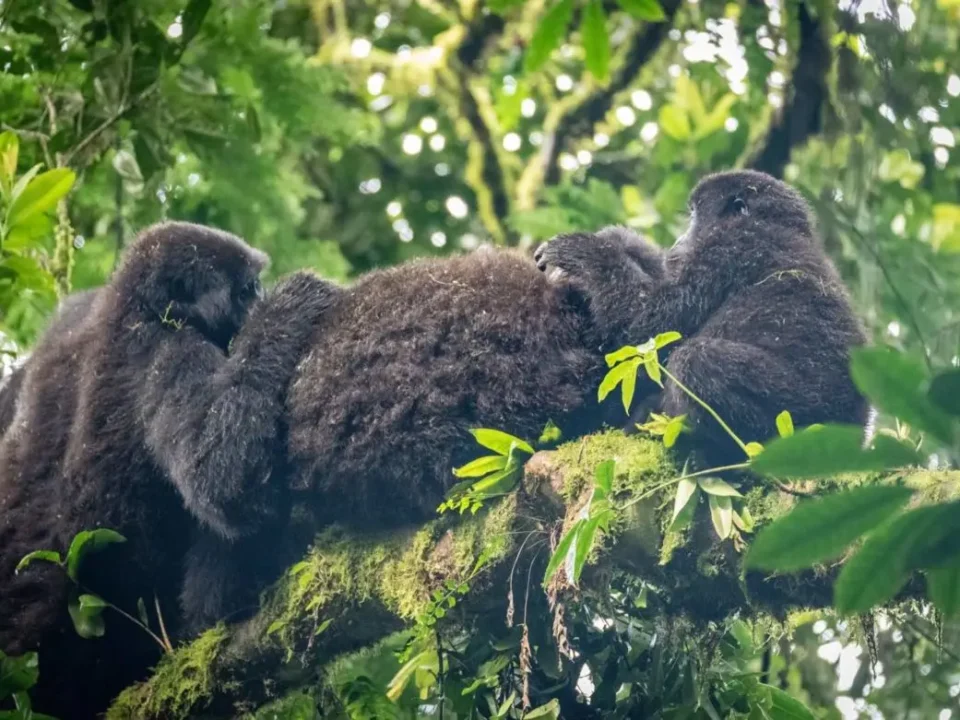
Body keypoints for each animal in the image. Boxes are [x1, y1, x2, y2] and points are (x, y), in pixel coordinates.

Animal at [0, 222, 337, 719]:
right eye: (246, 290)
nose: (260, 299)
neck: (134, 309)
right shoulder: (168, 350)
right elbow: (223, 478)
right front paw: (292, 303)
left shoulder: (73, 323)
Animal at [535, 169, 870, 465]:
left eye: (695, 215)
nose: (680, 239)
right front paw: (621, 240)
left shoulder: (729, 247)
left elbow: (650, 322)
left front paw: (583, 250)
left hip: (804, 412)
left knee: (697, 361)